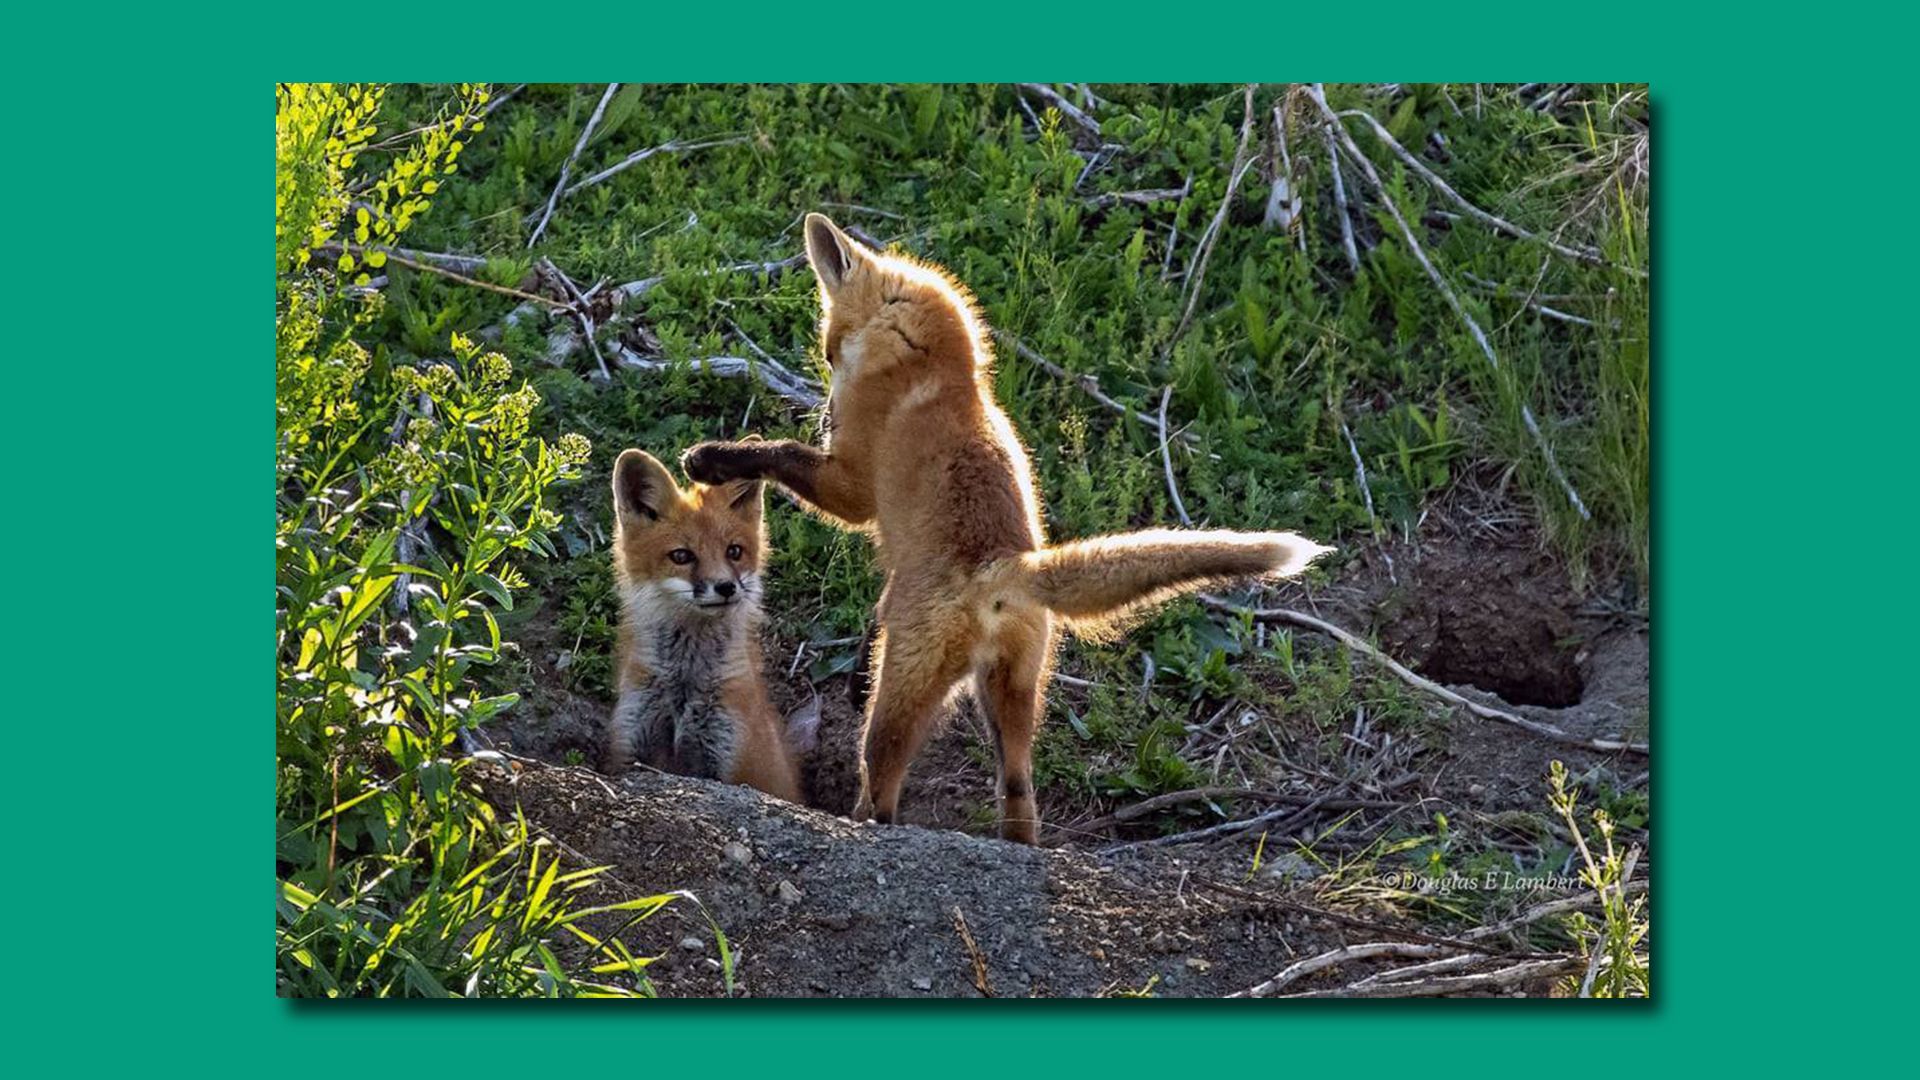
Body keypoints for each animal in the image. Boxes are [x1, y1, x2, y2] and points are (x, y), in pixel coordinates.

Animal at [602, 447, 803, 803]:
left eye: (734, 551)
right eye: (681, 556)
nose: (726, 587)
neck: (684, 687)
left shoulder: (734, 762)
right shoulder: (629, 746)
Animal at [683, 213, 1332, 844]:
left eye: (829, 352)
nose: (827, 414)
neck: (938, 369)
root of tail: (1003, 568)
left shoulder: (852, 489)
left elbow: (780, 454)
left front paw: (713, 458)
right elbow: (876, 601)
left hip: (902, 700)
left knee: (882, 792)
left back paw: (862, 826)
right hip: (1016, 698)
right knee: (1019, 791)